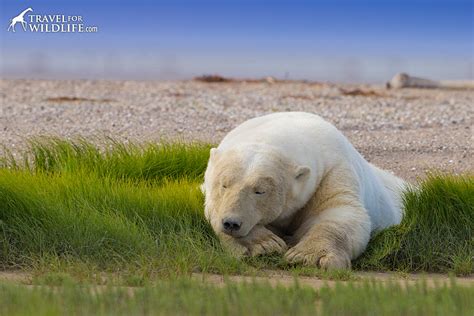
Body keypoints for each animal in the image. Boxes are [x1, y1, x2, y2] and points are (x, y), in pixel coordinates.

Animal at [202, 111, 406, 270]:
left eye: (259, 191)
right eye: (224, 184)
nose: (231, 223)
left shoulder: (333, 170)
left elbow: (339, 212)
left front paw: (308, 257)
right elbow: (213, 208)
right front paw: (262, 245)